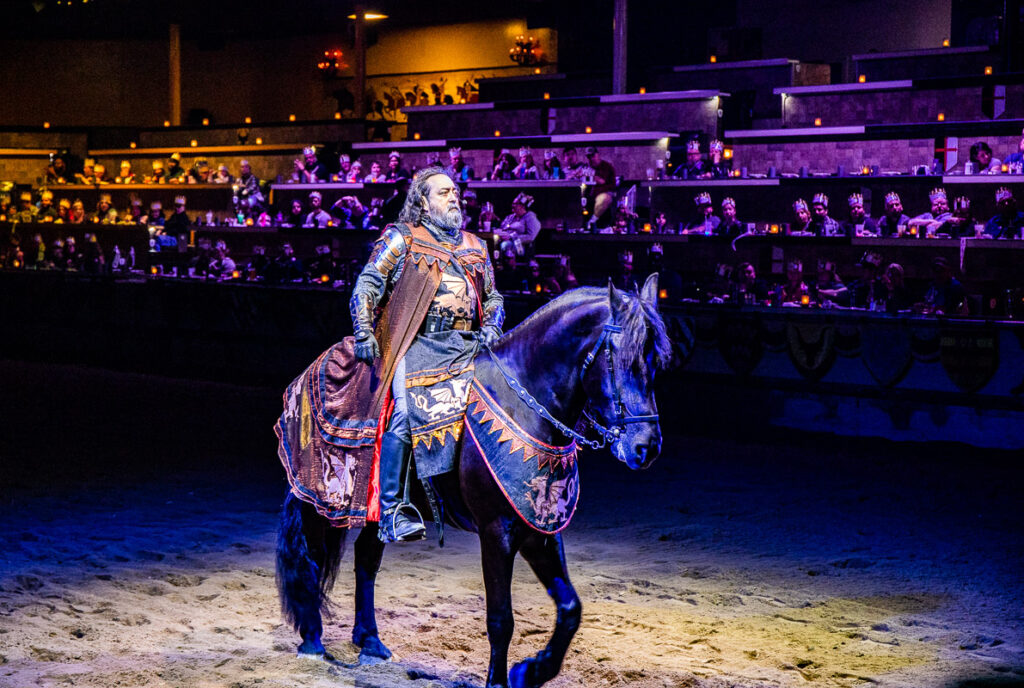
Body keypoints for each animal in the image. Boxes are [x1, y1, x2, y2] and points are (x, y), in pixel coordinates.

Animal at [276, 274, 671, 688]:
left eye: (655, 363)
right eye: (621, 359)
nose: (646, 447)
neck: (522, 405)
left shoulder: (538, 531)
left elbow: (570, 609)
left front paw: (531, 670)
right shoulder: (496, 531)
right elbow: (501, 619)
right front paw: (500, 680)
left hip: (376, 511)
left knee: (366, 558)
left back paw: (370, 642)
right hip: (318, 497)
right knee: (310, 556)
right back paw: (312, 639)